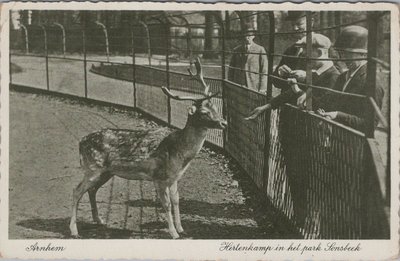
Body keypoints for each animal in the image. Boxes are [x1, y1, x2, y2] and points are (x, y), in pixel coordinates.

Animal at [69, 57, 228, 238]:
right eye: (204, 112)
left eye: (215, 108)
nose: (224, 123)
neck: (179, 153)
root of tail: (80, 142)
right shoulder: (158, 177)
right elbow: (166, 204)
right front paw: (173, 233)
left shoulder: (174, 178)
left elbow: (176, 201)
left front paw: (182, 229)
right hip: (92, 168)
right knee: (76, 191)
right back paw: (74, 230)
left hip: (106, 172)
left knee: (91, 191)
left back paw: (99, 220)